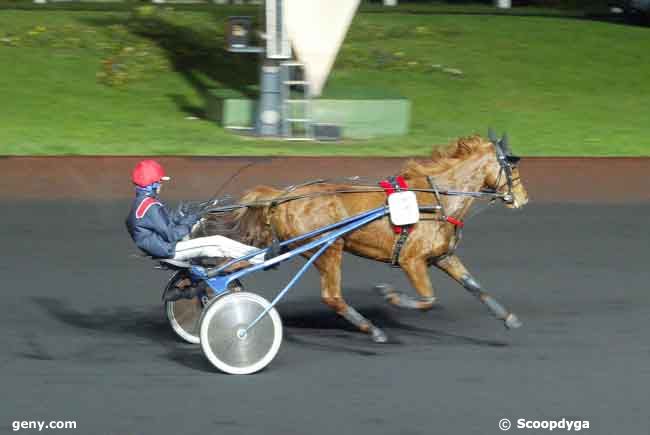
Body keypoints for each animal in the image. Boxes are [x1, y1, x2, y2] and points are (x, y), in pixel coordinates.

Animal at [221, 135, 528, 342]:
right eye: (512, 167)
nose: (523, 198)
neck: (436, 201)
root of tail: (282, 196)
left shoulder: (443, 256)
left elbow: (474, 286)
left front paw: (509, 318)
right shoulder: (411, 260)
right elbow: (428, 298)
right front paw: (390, 294)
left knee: (233, 265)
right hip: (329, 248)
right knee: (332, 296)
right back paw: (374, 330)